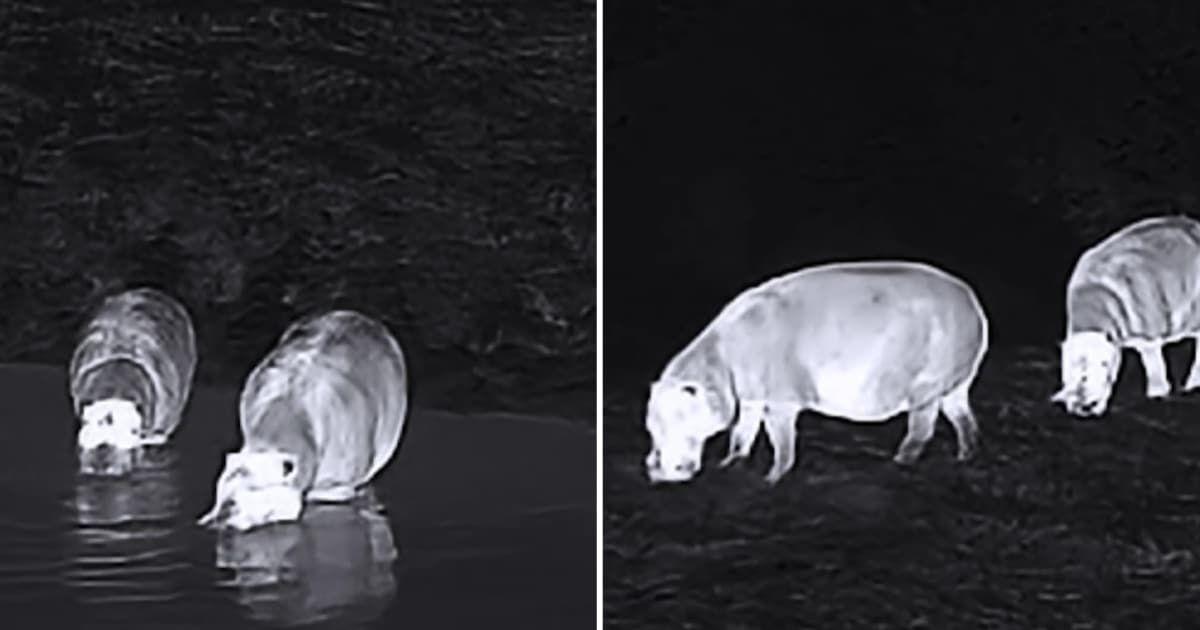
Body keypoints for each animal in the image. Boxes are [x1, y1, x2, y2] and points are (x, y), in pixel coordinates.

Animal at [644, 260, 989, 484]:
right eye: (650, 424)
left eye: (681, 413)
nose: (657, 469)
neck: (718, 361)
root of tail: (975, 306)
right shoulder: (751, 395)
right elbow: (742, 433)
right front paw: (730, 463)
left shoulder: (779, 398)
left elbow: (781, 441)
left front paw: (771, 479)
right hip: (954, 382)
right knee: (963, 419)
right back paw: (965, 456)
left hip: (927, 382)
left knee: (922, 428)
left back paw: (898, 462)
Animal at [1054, 214, 1200, 417]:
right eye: (1069, 370)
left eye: (1104, 365)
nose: (1085, 406)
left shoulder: (1148, 338)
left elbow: (1155, 371)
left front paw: (1157, 396)